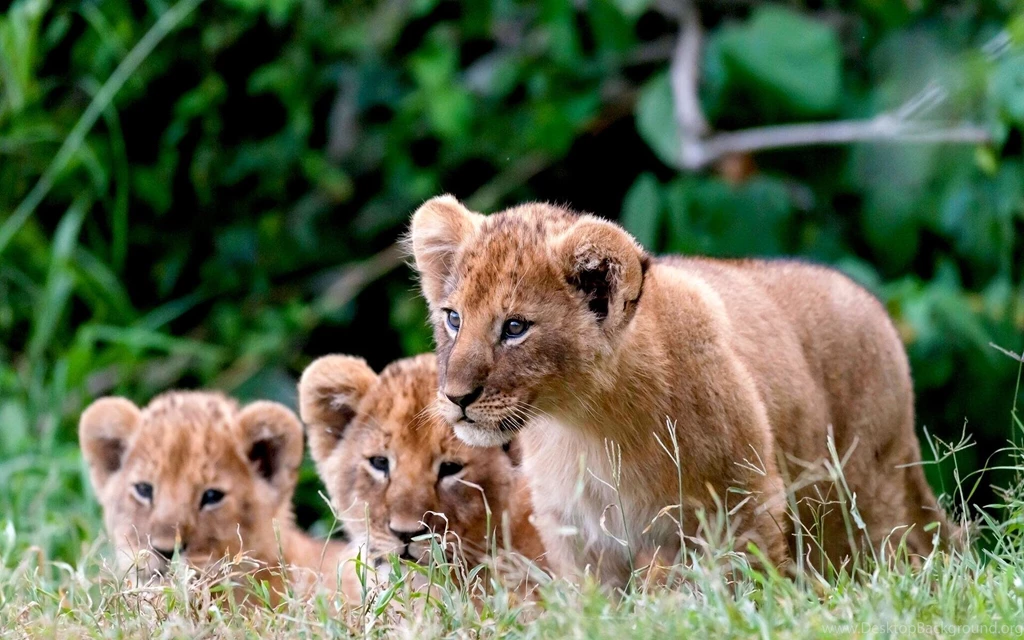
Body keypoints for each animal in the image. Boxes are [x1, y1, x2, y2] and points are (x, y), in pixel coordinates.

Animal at [408, 194, 957, 587]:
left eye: (515, 328)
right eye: (453, 318)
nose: (455, 398)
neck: (588, 424)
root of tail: (877, 307)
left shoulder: (744, 505)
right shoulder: (578, 535)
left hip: (866, 491)